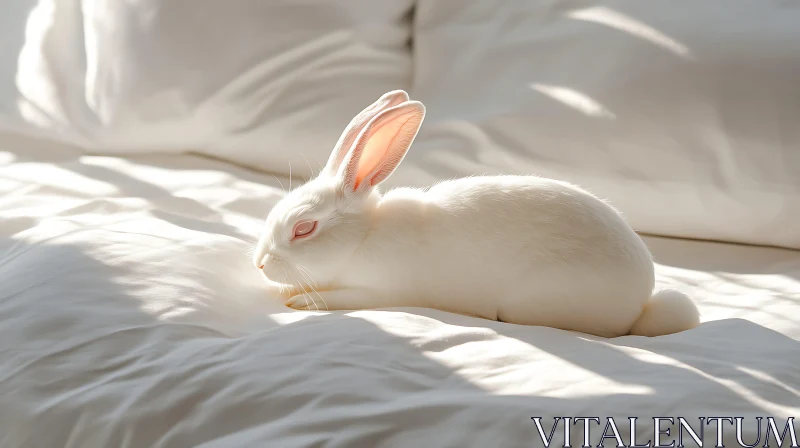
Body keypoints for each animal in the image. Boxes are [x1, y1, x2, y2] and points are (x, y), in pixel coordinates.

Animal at [253, 90, 696, 336]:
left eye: (304, 229)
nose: (259, 264)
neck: (363, 237)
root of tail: (641, 304)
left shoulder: (380, 291)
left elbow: (341, 299)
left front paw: (301, 303)